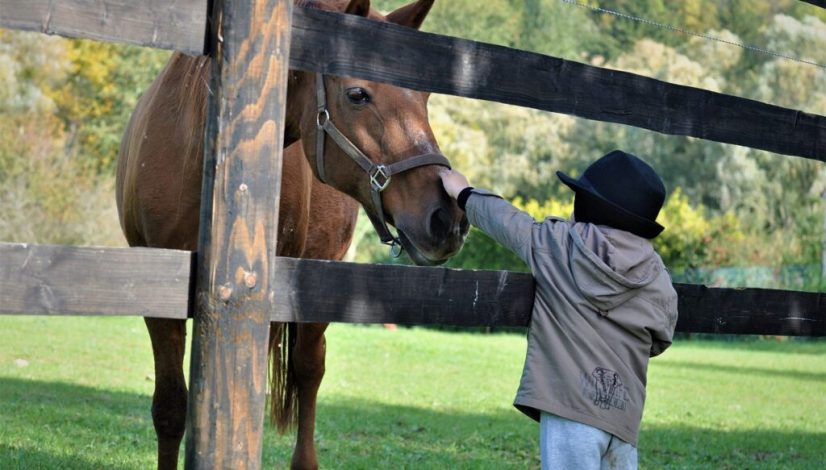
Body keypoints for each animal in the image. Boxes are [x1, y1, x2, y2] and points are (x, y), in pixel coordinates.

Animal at [115, 0, 468, 468]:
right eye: (358, 94)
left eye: (424, 97)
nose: (446, 218)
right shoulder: (159, 297)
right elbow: (171, 407)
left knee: (308, 369)